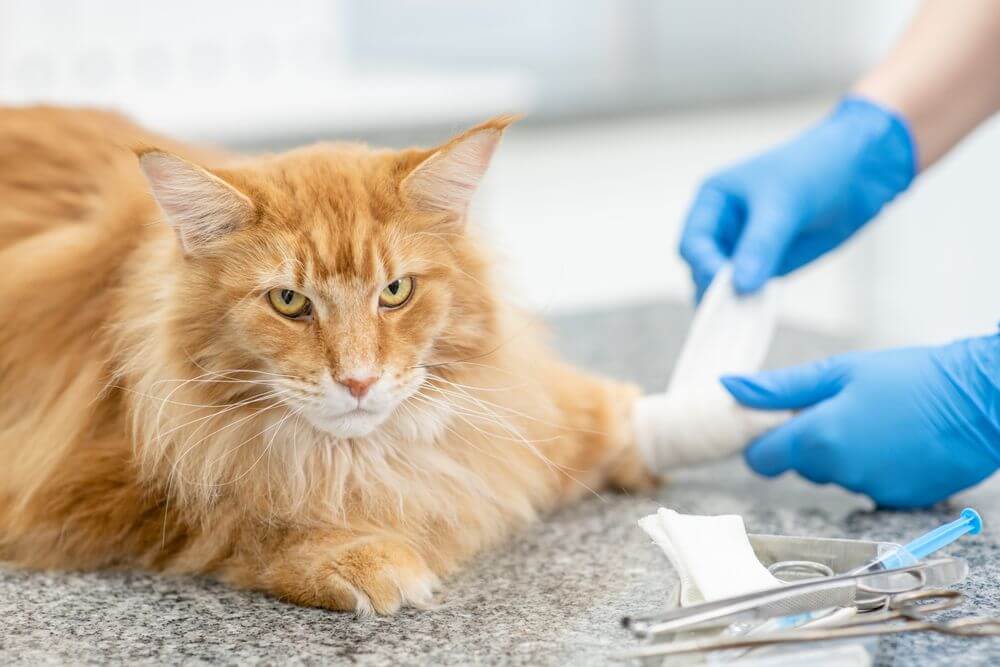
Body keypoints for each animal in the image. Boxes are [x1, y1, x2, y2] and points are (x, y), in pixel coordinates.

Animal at [0, 108, 656, 616]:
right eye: (290, 302)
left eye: (396, 291)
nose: (358, 379)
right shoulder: (75, 485)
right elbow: (241, 518)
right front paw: (359, 558)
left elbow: (567, 425)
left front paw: (633, 438)